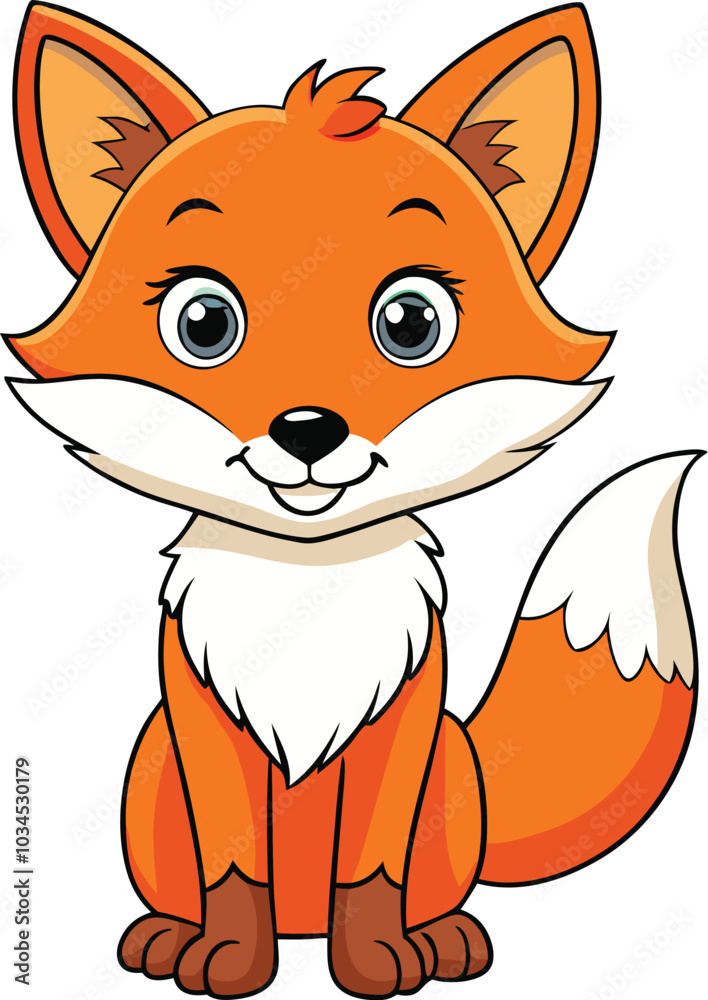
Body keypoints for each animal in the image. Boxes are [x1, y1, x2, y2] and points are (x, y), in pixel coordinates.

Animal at [5, 2, 700, 998]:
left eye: (411, 323)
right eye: (202, 323)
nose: (307, 429)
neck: (307, 586)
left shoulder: (402, 723)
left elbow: (372, 867)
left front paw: (374, 959)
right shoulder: (203, 725)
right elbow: (233, 866)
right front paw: (230, 958)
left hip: (448, 769)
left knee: (431, 888)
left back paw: (445, 939)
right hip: (150, 772)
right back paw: (169, 938)